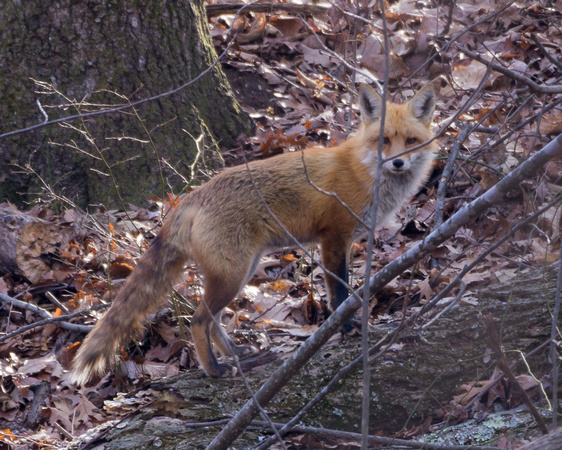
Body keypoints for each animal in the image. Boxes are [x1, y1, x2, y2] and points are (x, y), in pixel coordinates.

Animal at [70, 83, 436, 384]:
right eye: (383, 140)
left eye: (410, 141)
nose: (398, 163)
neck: (365, 172)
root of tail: (190, 197)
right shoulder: (334, 237)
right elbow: (340, 294)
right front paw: (347, 329)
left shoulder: (344, 241)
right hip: (233, 274)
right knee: (198, 320)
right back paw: (215, 370)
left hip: (240, 270)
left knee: (213, 320)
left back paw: (235, 354)